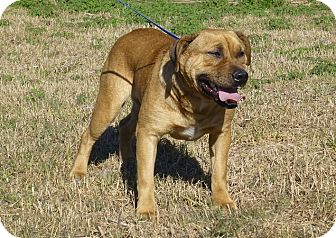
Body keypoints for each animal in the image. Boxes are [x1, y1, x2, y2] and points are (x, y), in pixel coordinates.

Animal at [70, 27, 249, 218]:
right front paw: (146, 209)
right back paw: (78, 171)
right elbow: (146, 177)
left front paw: (223, 201)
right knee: (88, 135)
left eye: (241, 53)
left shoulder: (221, 134)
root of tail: (129, 34)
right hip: (109, 106)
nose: (242, 75)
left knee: (124, 125)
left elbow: (219, 171)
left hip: (138, 108)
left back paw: (128, 159)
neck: (195, 100)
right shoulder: (148, 134)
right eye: (215, 53)